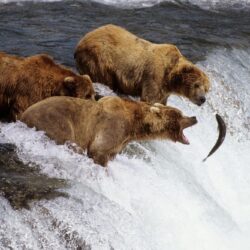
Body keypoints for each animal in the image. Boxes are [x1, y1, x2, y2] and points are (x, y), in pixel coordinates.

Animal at [20, 95, 197, 166]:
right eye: (180, 114)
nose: (194, 117)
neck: (134, 125)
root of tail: (23, 115)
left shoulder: (120, 141)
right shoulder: (112, 127)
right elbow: (98, 150)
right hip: (55, 122)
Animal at [74, 25, 211, 106]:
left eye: (206, 89)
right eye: (197, 84)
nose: (202, 99)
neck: (170, 78)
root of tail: (82, 40)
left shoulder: (164, 91)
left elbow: (161, 102)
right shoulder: (155, 75)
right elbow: (149, 98)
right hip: (99, 58)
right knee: (104, 78)